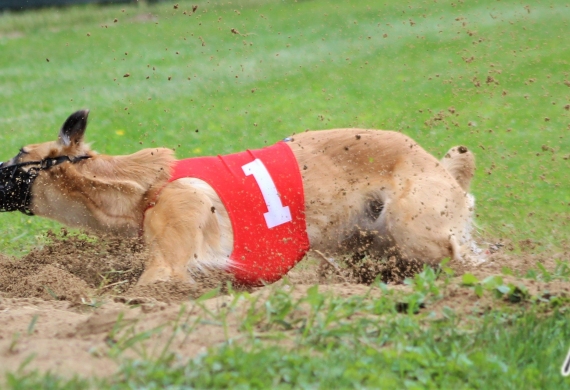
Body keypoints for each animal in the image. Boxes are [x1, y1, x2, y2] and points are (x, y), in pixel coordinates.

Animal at [0, 109, 482, 286]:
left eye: (21, 154)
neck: (142, 187)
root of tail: (438, 164)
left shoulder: (171, 256)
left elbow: (148, 287)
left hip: (415, 225)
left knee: (462, 255)